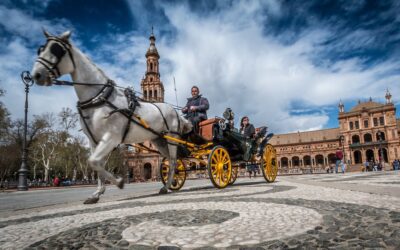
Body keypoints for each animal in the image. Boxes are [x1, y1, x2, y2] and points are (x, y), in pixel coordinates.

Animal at [32, 30, 191, 204]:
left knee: (173, 161)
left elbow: (94, 162)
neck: (99, 97)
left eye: (56, 50)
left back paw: (166, 186)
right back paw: (171, 183)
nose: (36, 75)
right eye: (41, 49)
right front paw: (97, 193)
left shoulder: (112, 137)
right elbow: (96, 163)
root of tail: (176, 112)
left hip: (171, 138)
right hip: (160, 141)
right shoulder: (94, 141)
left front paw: (119, 182)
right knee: (169, 161)